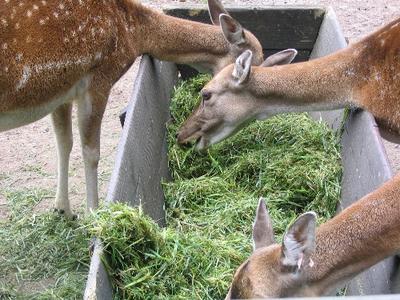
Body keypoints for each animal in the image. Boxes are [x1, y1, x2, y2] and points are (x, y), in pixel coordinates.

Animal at [0, 0, 266, 217]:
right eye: (254, 63)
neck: (132, 32)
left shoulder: (61, 93)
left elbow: (64, 144)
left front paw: (63, 211)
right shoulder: (98, 78)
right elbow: (91, 152)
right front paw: (94, 217)